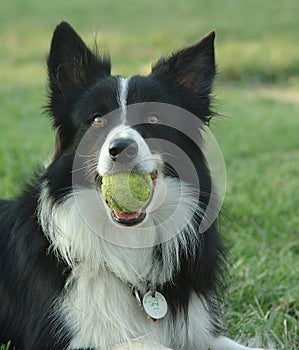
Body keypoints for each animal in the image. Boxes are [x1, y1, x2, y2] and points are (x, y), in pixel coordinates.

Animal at [0, 22, 270, 350]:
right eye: (97, 119)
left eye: (153, 118)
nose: (122, 149)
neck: (128, 242)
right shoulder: (60, 339)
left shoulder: (199, 331)